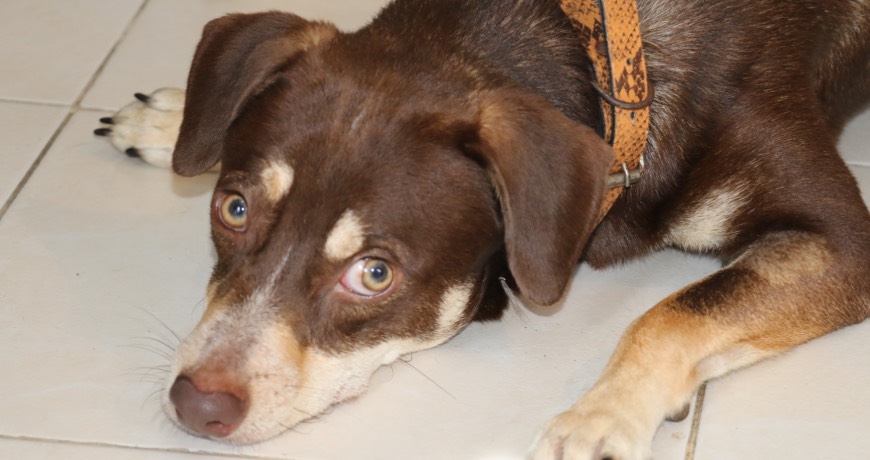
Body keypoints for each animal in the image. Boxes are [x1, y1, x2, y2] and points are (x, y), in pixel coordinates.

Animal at [94, 0, 870, 458]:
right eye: (233, 209)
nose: (196, 403)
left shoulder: (844, 241)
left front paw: (599, 419)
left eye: (375, 274)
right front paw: (179, 119)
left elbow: (671, 314)